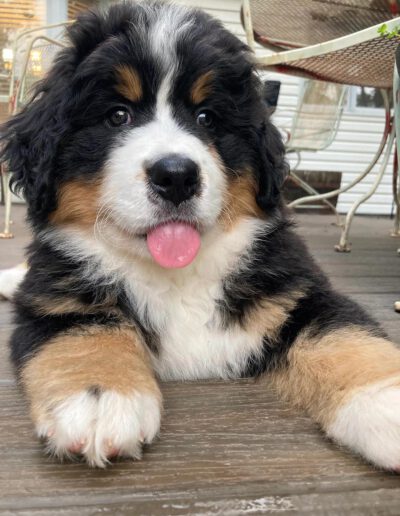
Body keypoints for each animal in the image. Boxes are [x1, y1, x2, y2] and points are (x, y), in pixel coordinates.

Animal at [0, 0, 400, 470]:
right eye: (118, 115)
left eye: (207, 117)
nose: (176, 176)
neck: (176, 278)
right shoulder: (55, 296)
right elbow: (86, 328)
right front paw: (100, 398)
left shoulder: (298, 292)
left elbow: (343, 337)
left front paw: (386, 399)